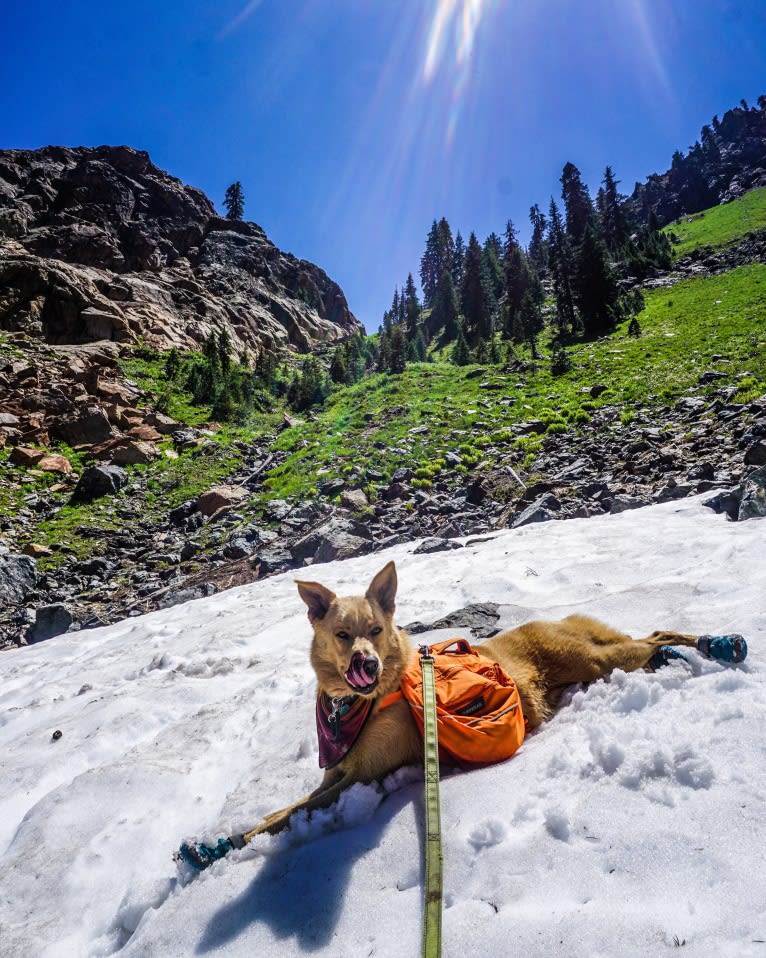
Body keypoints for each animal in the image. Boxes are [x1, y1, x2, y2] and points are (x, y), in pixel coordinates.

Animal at [234, 564, 728, 848]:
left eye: (375, 630)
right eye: (341, 635)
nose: (367, 662)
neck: (351, 710)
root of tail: (555, 620)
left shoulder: (362, 776)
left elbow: (290, 814)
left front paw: (234, 843)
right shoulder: (337, 772)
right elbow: (287, 808)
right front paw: (239, 834)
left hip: (597, 659)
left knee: (658, 636)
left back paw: (713, 645)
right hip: (594, 661)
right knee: (653, 637)